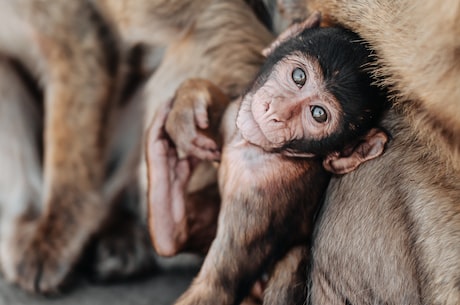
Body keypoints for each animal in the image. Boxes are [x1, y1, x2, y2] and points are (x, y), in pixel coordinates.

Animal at [146, 13, 388, 304]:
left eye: (318, 114)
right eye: (298, 76)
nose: (277, 111)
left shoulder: (260, 194)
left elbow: (216, 287)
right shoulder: (233, 119)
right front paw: (189, 105)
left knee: (293, 256)